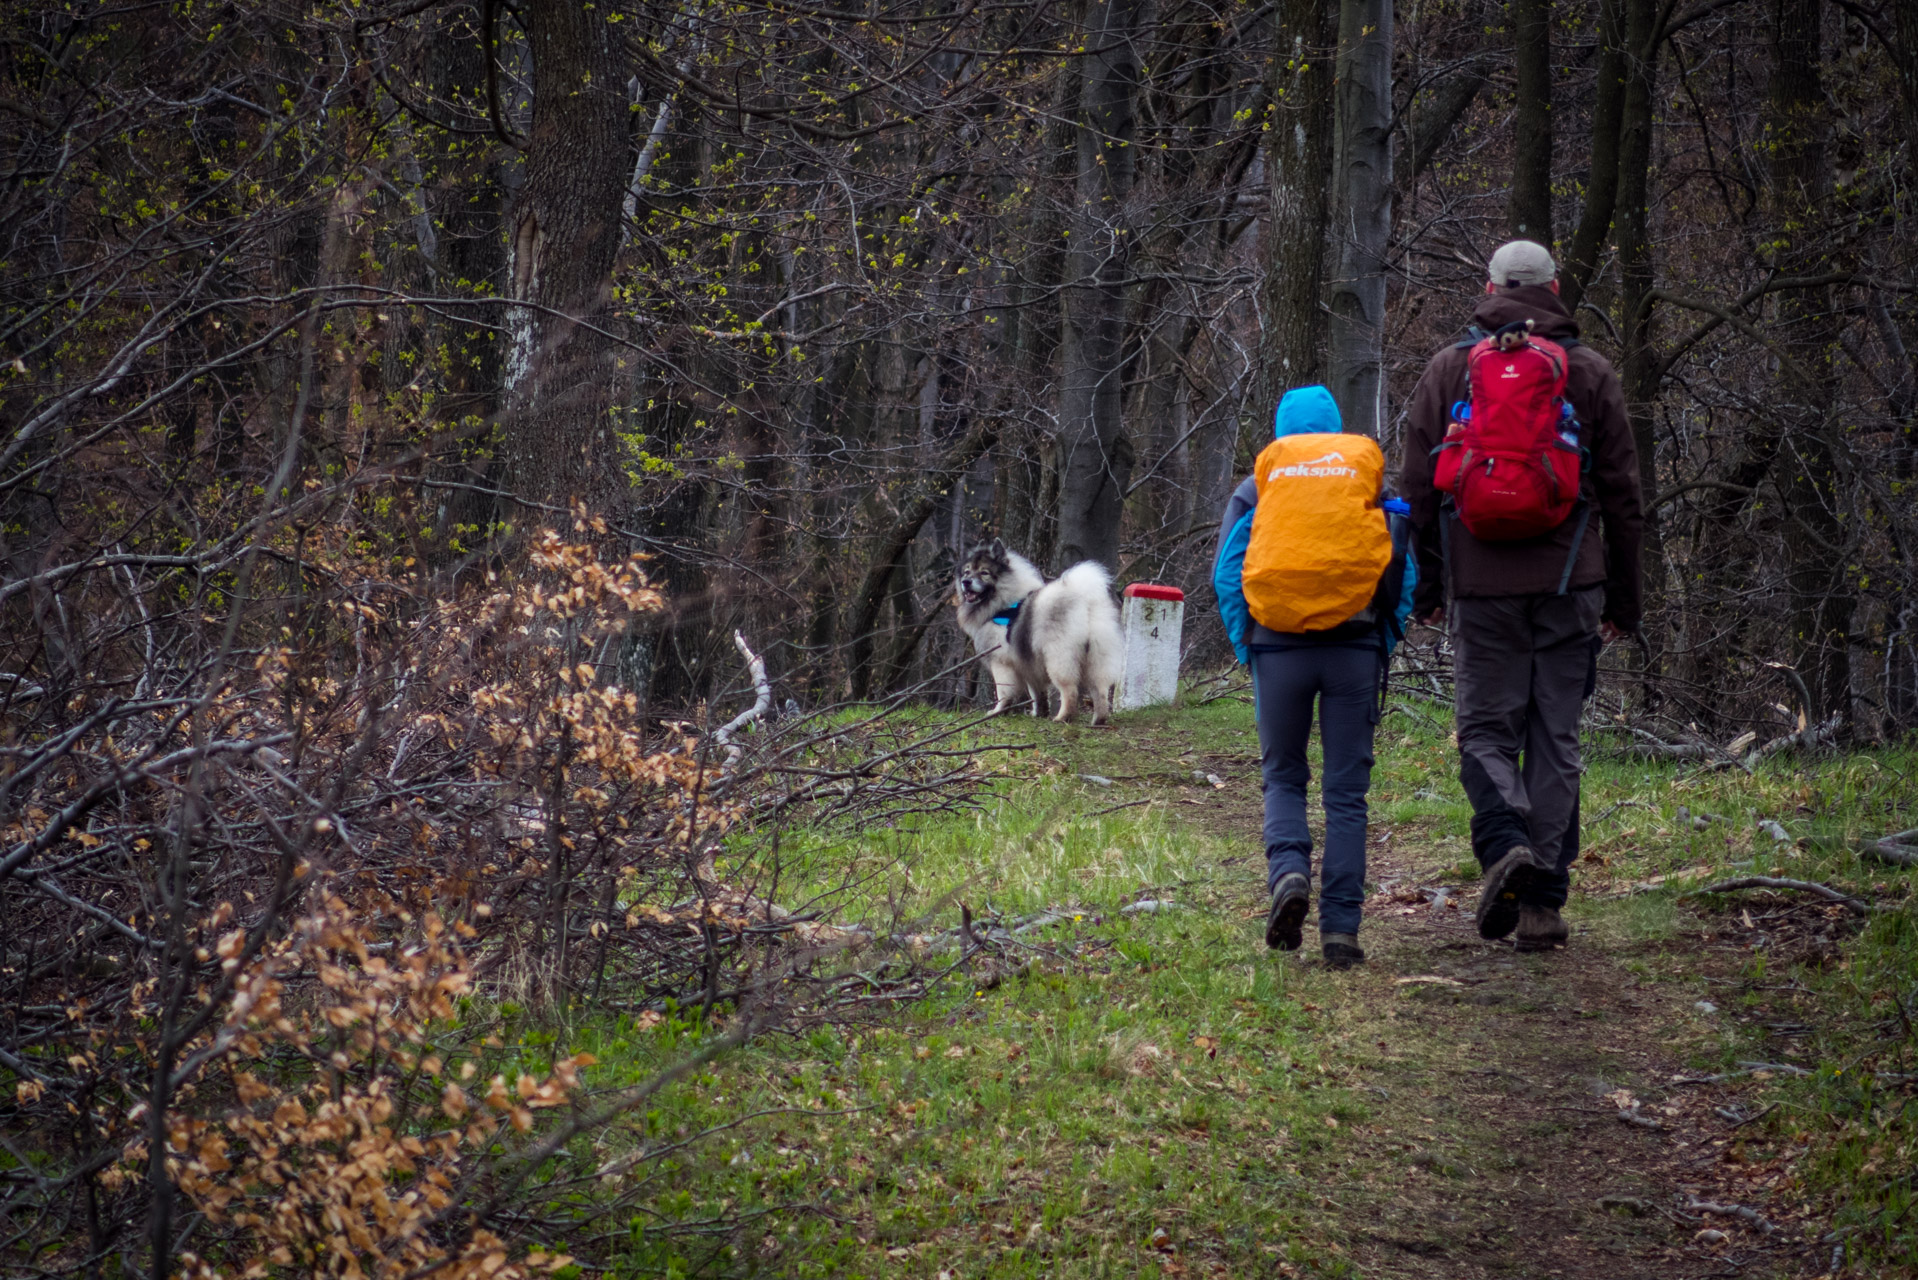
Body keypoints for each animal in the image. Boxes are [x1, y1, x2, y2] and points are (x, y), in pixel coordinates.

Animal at [955, 537, 1120, 725]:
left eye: (984, 573)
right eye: (967, 572)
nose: (966, 582)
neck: (1003, 601)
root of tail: (1085, 601)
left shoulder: (1001, 662)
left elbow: (1003, 692)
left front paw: (998, 711)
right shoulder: (1029, 664)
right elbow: (1036, 692)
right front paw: (1038, 713)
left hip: (1058, 659)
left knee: (1069, 690)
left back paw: (1063, 717)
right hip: (1096, 658)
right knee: (1100, 690)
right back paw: (1099, 719)